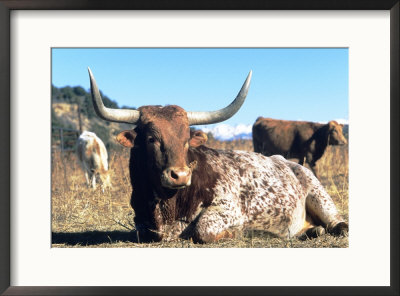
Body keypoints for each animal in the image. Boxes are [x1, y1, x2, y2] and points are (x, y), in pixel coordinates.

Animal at [86, 67, 346, 243]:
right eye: (152, 139)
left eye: (186, 140)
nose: (180, 176)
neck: (167, 207)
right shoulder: (141, 221)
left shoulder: (229, 208)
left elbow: (202, 230)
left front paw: (237, 233)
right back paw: (312, 231)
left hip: (319, 195)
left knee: (338, 223)